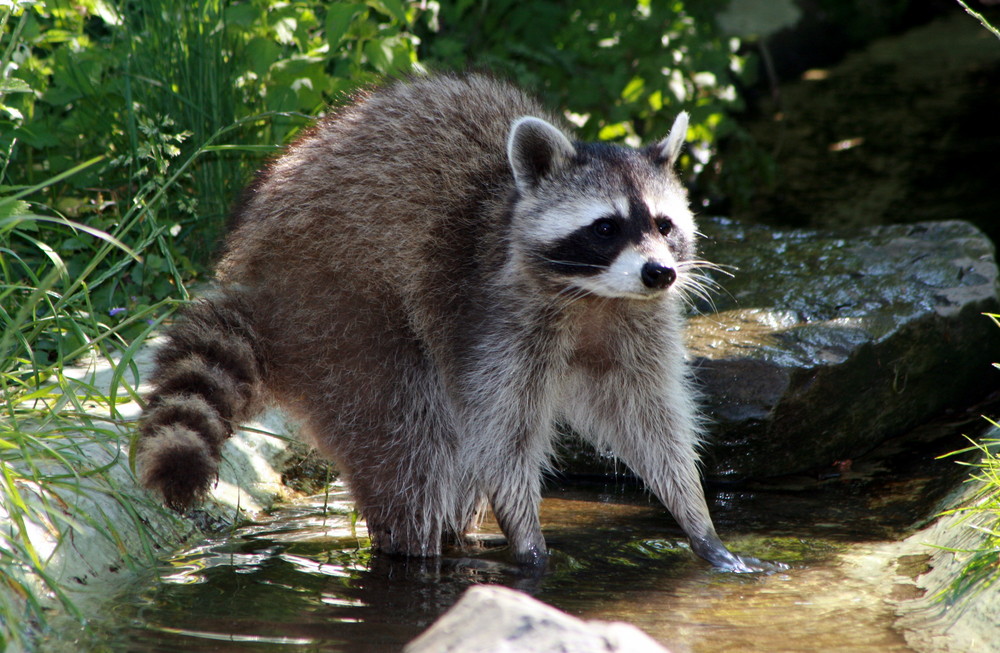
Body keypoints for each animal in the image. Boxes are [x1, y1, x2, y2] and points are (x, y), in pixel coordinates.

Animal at [135, 72, 764, 572]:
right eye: (606, 227)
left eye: (663, 224)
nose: (660, 273)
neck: (595, 296)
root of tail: (252, 277)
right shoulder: (488, 313)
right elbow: (501, 431)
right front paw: (527, 538)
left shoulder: (635, 323)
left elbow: (648, 419)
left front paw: (696, 518)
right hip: (340, 312)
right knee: (410, 439)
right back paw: (415, 550)